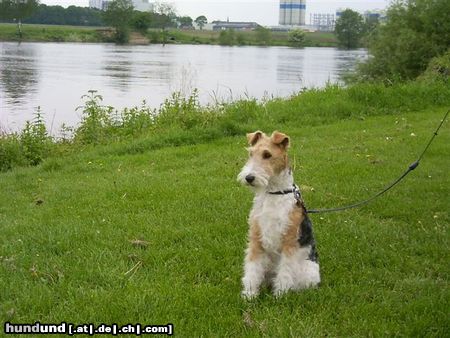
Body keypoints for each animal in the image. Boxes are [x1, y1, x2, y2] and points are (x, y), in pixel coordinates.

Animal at [236, 131, 320, 298]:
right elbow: (252, 268)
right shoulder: (256, 238)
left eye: (267, 155)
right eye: (250, 153)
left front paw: (280, 295)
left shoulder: (289, 242)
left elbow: (286, 271)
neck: (274, 193)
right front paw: (249, 294)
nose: (249, 178)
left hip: (309, 271)